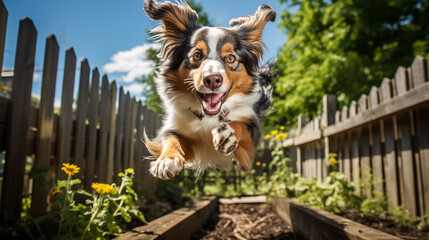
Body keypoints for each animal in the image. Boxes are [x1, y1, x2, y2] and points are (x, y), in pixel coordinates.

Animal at [143, 0, 274, 179]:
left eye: (231, 58)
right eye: (197, 55)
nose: (212, 80)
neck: (208, 117)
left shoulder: (248, 154)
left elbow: (240, 126)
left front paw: (228, 134)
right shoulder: (174, 128)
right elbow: (171, 138)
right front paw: (167, 159)